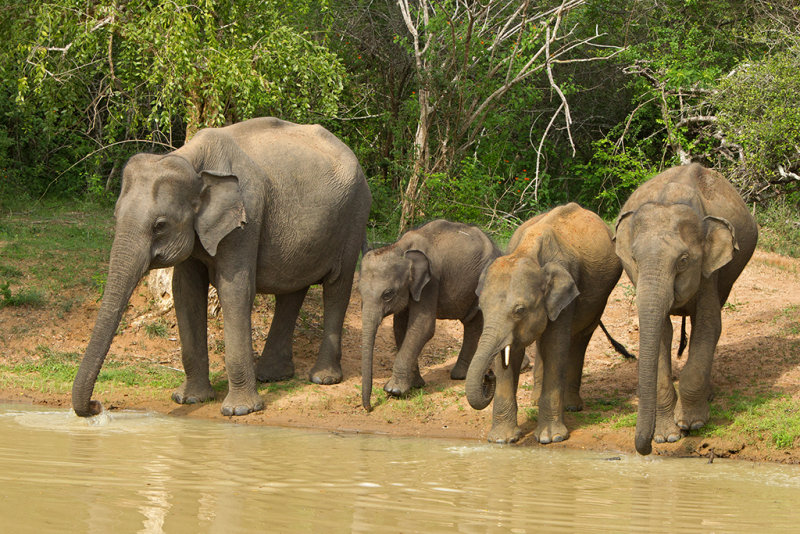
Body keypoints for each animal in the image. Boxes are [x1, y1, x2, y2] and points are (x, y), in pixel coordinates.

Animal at [72, 117, 372, 418]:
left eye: (160, 225)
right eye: (116, 215)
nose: (96, 405)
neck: (191, 160)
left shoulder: (246, 219)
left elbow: (235, 291)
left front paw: (239, 410)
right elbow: (186, 293)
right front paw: (189, 399)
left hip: (355, 215)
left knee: (337, 286)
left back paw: (323, 378)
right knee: (292, 290)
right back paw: (272, 376)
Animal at [360, 220, 500, 412]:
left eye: (387, 294)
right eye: (359, 291)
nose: (369, 408)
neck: (400, 247)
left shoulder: (431, 281)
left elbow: (422, 327)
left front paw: (393, 390)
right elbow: (400, 327)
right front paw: (416, 384)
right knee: (472, 322)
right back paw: (460, 375)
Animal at [462, 203, 624, 446]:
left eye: (519, 310)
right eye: (482, 307)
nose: (488, 376)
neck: (528, 251)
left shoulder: (565, 297)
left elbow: (556, 348)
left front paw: (551, 438)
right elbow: (509, 355)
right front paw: (502, 440)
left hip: (600, 298)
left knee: (580, 339)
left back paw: (571, 406)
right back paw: (536, 400)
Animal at [612, 163, 756, 456]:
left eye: (683, 261)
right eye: (634, 259)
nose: (645, 449)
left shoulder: (710, 272)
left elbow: (709, 326)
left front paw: (692, 424)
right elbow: (660, 332)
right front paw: (667, 437)